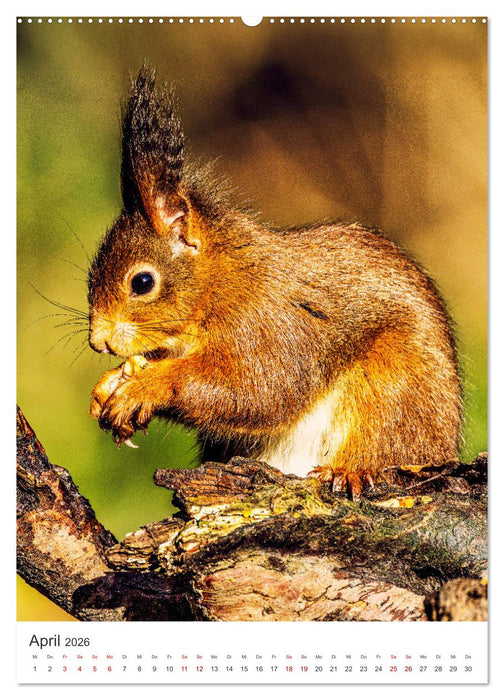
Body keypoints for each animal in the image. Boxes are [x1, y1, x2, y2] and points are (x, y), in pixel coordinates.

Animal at [88, 66, 462, 500]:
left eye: (143, 282)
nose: (98, 341)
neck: (225, 285)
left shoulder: (270, 329)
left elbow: (254, 391)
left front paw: (144, 387)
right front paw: (111, 383)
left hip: (396, 391)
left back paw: (350, 469)